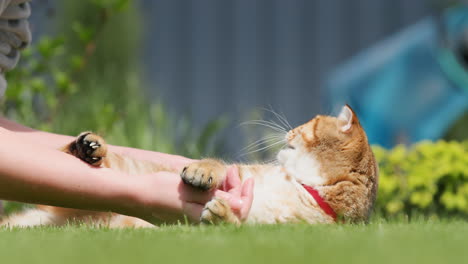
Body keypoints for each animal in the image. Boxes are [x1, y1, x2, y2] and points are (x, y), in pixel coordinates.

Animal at [0, 105, 378, 227]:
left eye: (309, 123)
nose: (290, 129)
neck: (297, 184)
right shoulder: (242, 173)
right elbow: (218, 165)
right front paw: (202, 170)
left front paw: (223, 214)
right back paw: (87, 147)